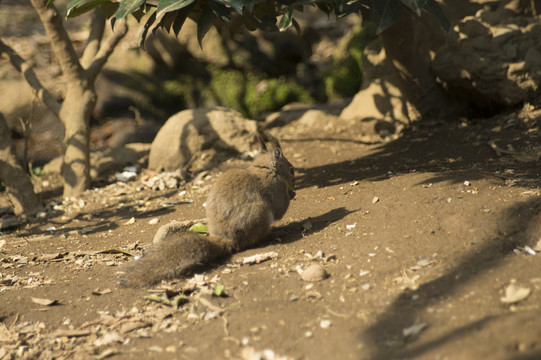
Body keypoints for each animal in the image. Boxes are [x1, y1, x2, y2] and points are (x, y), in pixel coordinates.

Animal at [121, 132, 296, 286]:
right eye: (292, 170)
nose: (294, 183)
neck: (264, 168)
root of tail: (226, 239)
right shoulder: (275, 189)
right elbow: (280, 208)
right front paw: (291, 193)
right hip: (261, 215)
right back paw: (273, 233)